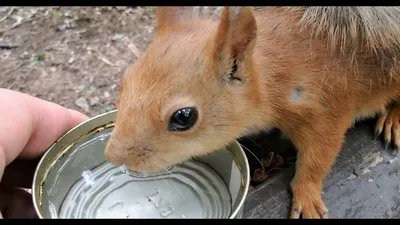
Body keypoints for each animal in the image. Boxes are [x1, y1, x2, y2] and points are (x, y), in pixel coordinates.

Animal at [103, 6, 400, 218]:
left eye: (184, 117)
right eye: (125, 79)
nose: (113, 156)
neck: (275, 73)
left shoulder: (327, 112)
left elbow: (318, 158)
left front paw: (306, 197)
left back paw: (393, 118)